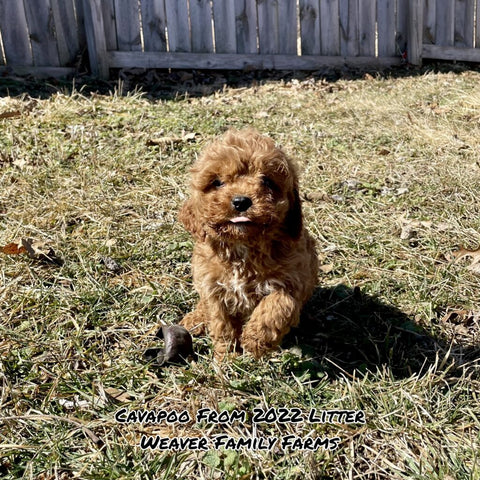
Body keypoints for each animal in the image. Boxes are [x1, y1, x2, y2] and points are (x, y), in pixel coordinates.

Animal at [178, 129, 316, 358]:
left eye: (267, 181)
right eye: (217, 182)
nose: (241, 201)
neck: (243, 246)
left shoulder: (293, 279)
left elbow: (277, 306)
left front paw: (255, 341)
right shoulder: (213, 288)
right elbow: (221, 324)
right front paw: (226, 356)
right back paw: (194, 320)